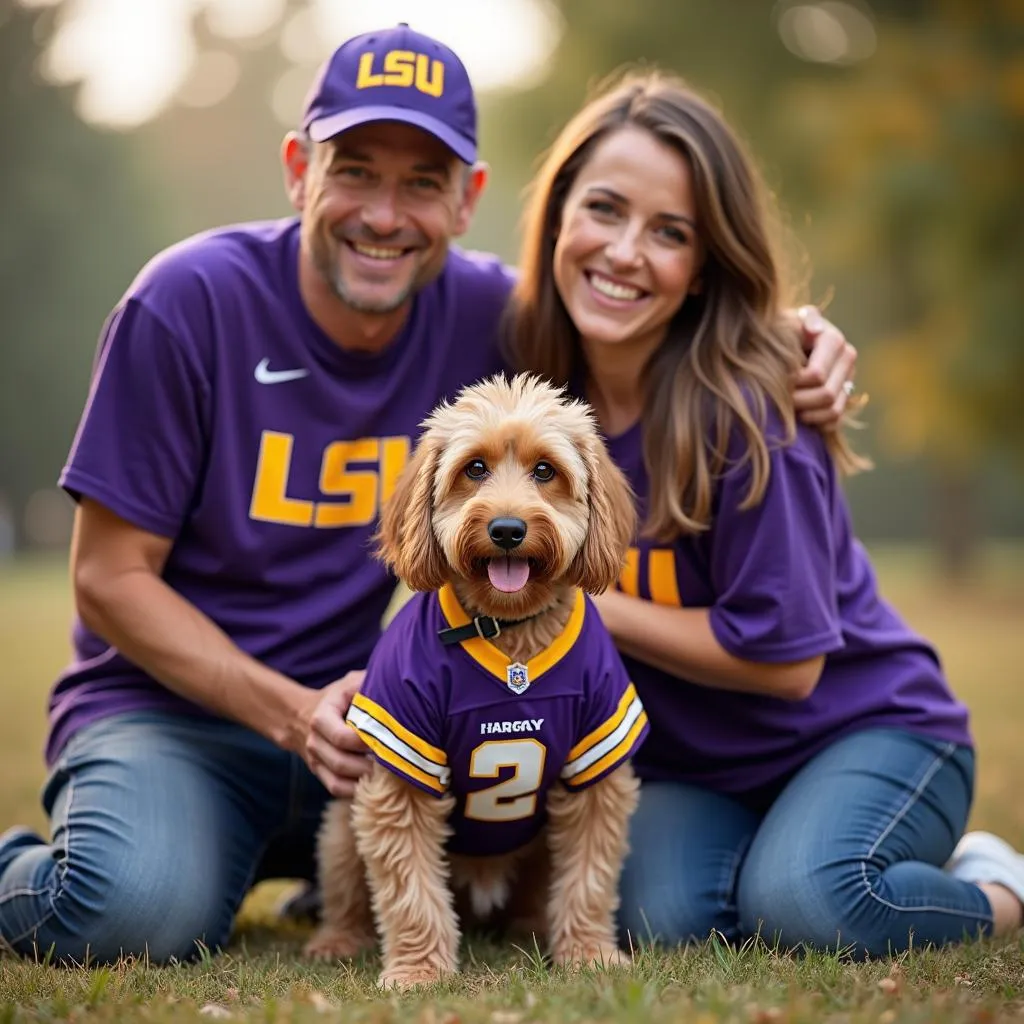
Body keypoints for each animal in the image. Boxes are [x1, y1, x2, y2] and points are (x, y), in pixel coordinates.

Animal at [303, 372, 651, 987]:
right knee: (346, 889)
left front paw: (590, 954)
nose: (507, 529)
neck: (509, 632)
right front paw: (418, 971)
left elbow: (589, 877)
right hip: (343, 825)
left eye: (545, 471)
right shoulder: (399, 771)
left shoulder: (597, 763)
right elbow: (411, 889)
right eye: (475, 468)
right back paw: (337, 940)